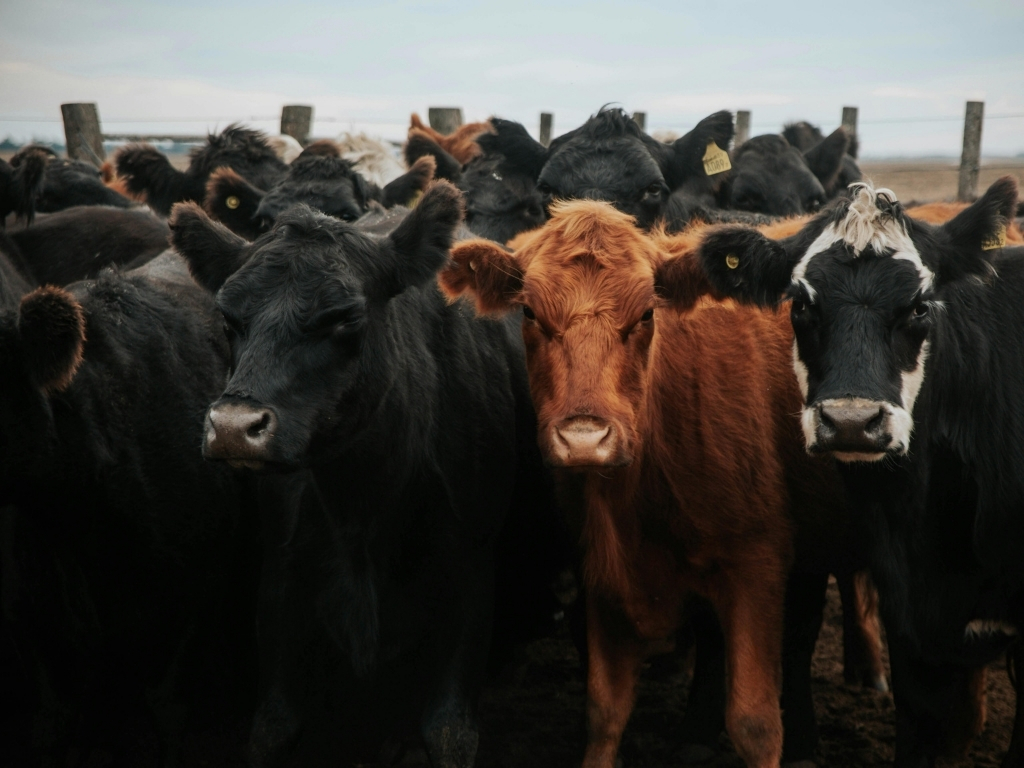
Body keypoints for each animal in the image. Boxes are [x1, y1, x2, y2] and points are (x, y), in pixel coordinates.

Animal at [168, 181, 564, 767]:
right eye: (229, 321)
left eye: (344, 318)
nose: (235, 427)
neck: (363, 505)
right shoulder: (281, 576)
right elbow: (272, 729)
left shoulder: (470, 571)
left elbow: (449, 733)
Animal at [438, 199, 880, 768]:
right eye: (530, 314)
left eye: (647, 314)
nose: (585, 438)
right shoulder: (601, 570)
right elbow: (604, 710)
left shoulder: (757, 564)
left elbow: (756, 722)